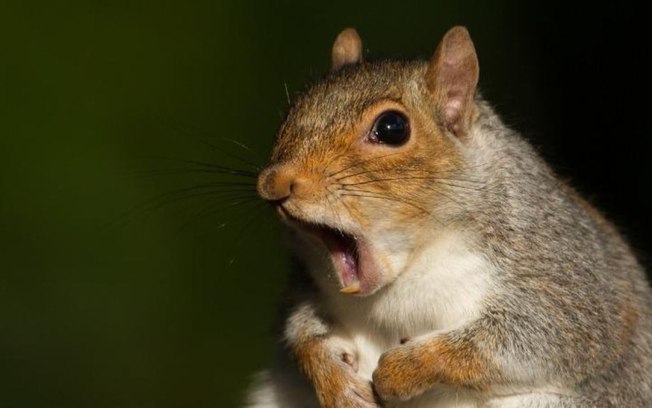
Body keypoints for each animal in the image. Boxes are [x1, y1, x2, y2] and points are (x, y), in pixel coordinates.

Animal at [243, 26, 652, 408]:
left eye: (392, 128)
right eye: (292, 111)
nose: (273, 183)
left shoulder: (566, 282)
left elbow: (529, 340)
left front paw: (402, 369)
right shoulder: (307, 285)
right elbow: (303, 331)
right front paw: (333, 378)